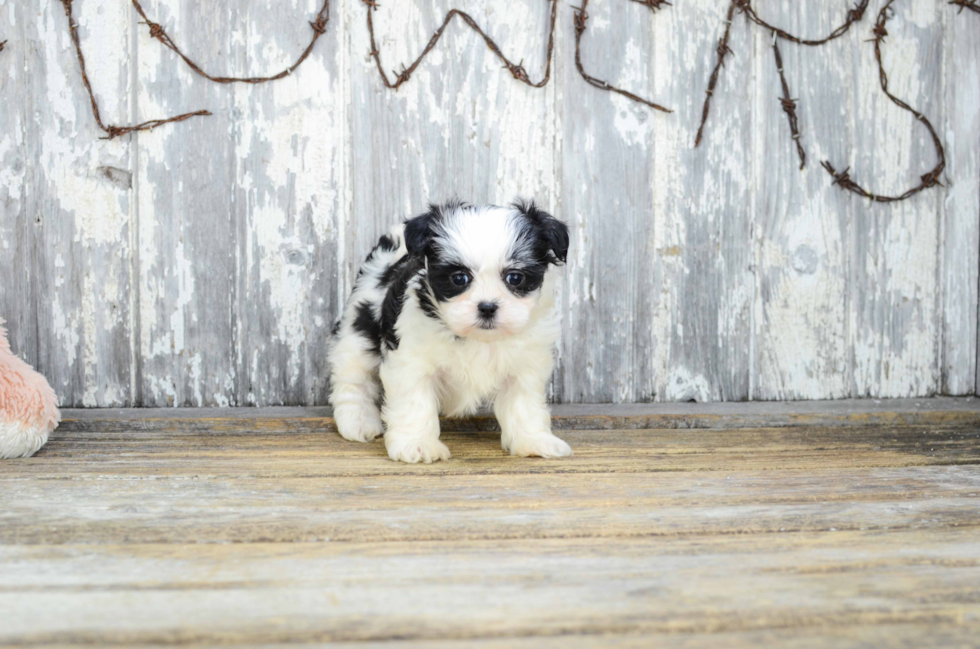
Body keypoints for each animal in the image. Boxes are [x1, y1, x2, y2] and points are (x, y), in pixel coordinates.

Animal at [330, 197, 576, 460]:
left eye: (515, 278)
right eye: (459, 278)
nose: (487, 307)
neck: (480, 339)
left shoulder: (525, 366)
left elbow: (524, 404)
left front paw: (534, 441)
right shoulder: (410, 359)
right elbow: (414, 402)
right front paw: (417, 445)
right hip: (357, 330)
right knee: (353, 377)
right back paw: (357, 420)